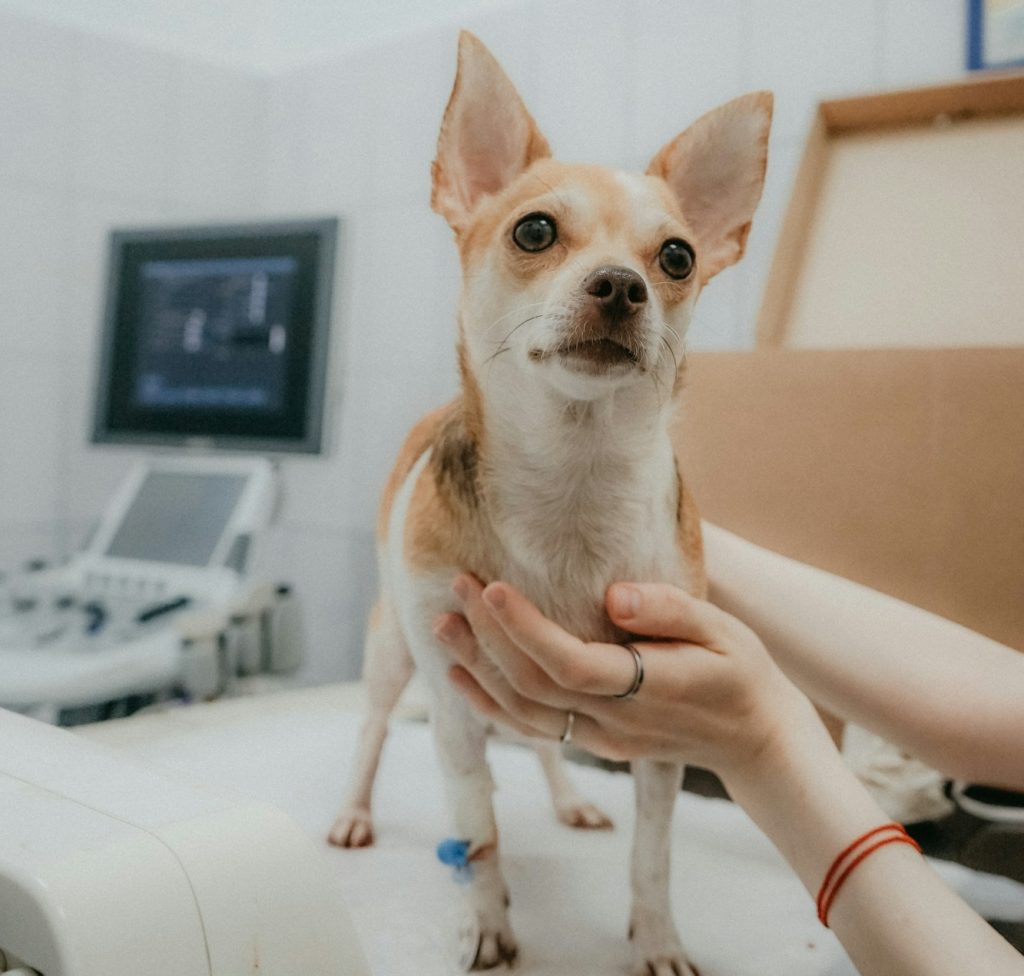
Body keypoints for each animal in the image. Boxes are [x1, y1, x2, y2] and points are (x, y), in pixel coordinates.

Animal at [327, 32, 770, 974]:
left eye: (676, 257)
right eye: (534, 230)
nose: (621, 284)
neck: (574, 476)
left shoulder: (662, 744)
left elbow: (653, 852)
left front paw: (657, 937)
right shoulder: (455, 708)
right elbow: (478, 832)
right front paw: (486, 924)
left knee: (541, 742)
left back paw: (572, 799)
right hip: (391, 652)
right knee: (374, 730)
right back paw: (353, 811)